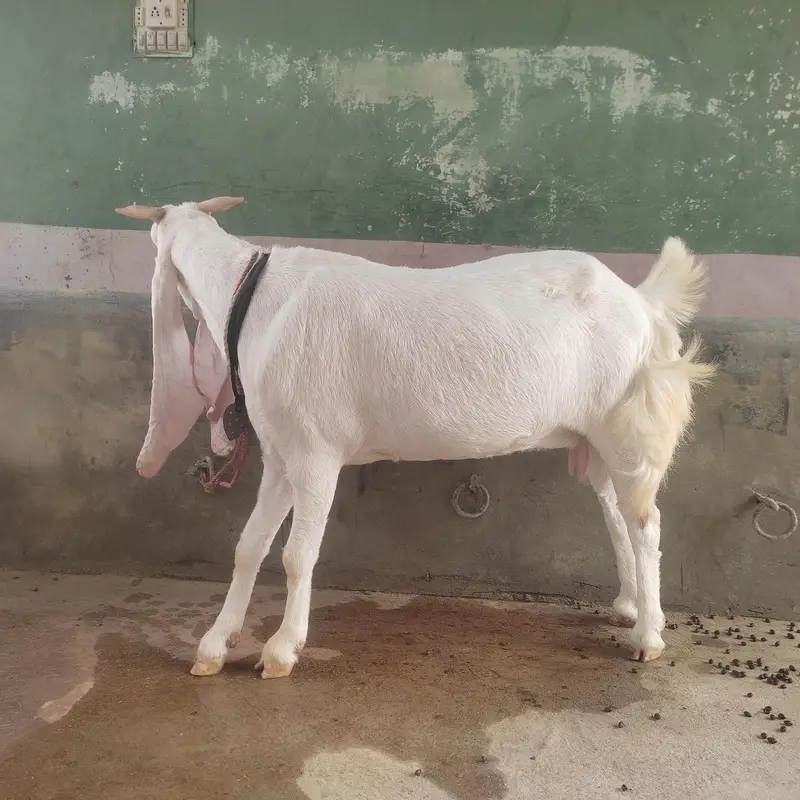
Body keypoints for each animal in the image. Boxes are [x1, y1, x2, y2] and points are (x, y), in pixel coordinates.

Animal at [115, 197, 715, 679]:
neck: (254, 297)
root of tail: (644, 302)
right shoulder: (282, 454)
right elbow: (248, 548)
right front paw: (215, 644)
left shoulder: (315, 451)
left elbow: (296, 555)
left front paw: (282, 650)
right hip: (595, 436)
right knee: (617, 515)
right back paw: (631, 604)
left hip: (627, 427)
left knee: (646, 523)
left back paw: (648, 637)